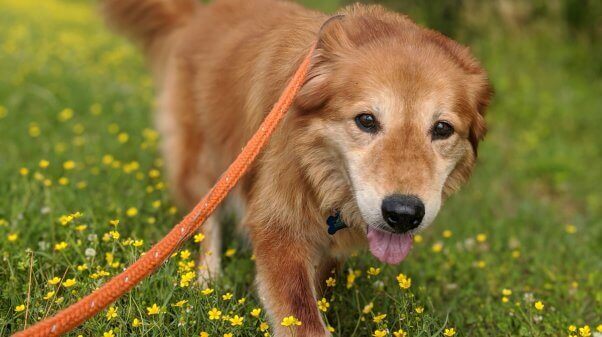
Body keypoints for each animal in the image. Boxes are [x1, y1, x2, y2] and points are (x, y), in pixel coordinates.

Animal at [102, 0, 488, 334]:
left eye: (442, 129)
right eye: (366, 120)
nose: (404, 214)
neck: (319, 174)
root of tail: (199, 15)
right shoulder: (277, 227)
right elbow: (302, 317)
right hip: (205, 164)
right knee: (204, 222)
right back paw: (207, 280)